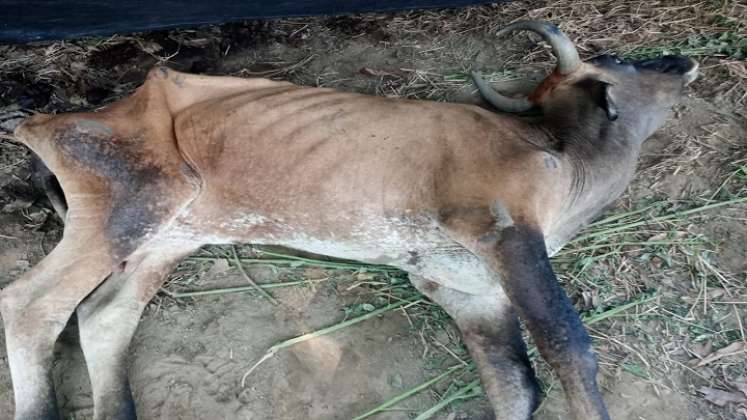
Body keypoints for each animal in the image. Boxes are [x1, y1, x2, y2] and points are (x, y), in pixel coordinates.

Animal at [2, 20, 700, 420]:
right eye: (624, 64)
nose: (680, 62)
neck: (557, 153)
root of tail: (52, 121)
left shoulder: (465, 288)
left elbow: (515, 387)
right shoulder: (505, 230)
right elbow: (567, 345)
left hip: (168, 236)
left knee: (103, 316)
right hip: (134, 202)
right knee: (31, 306)